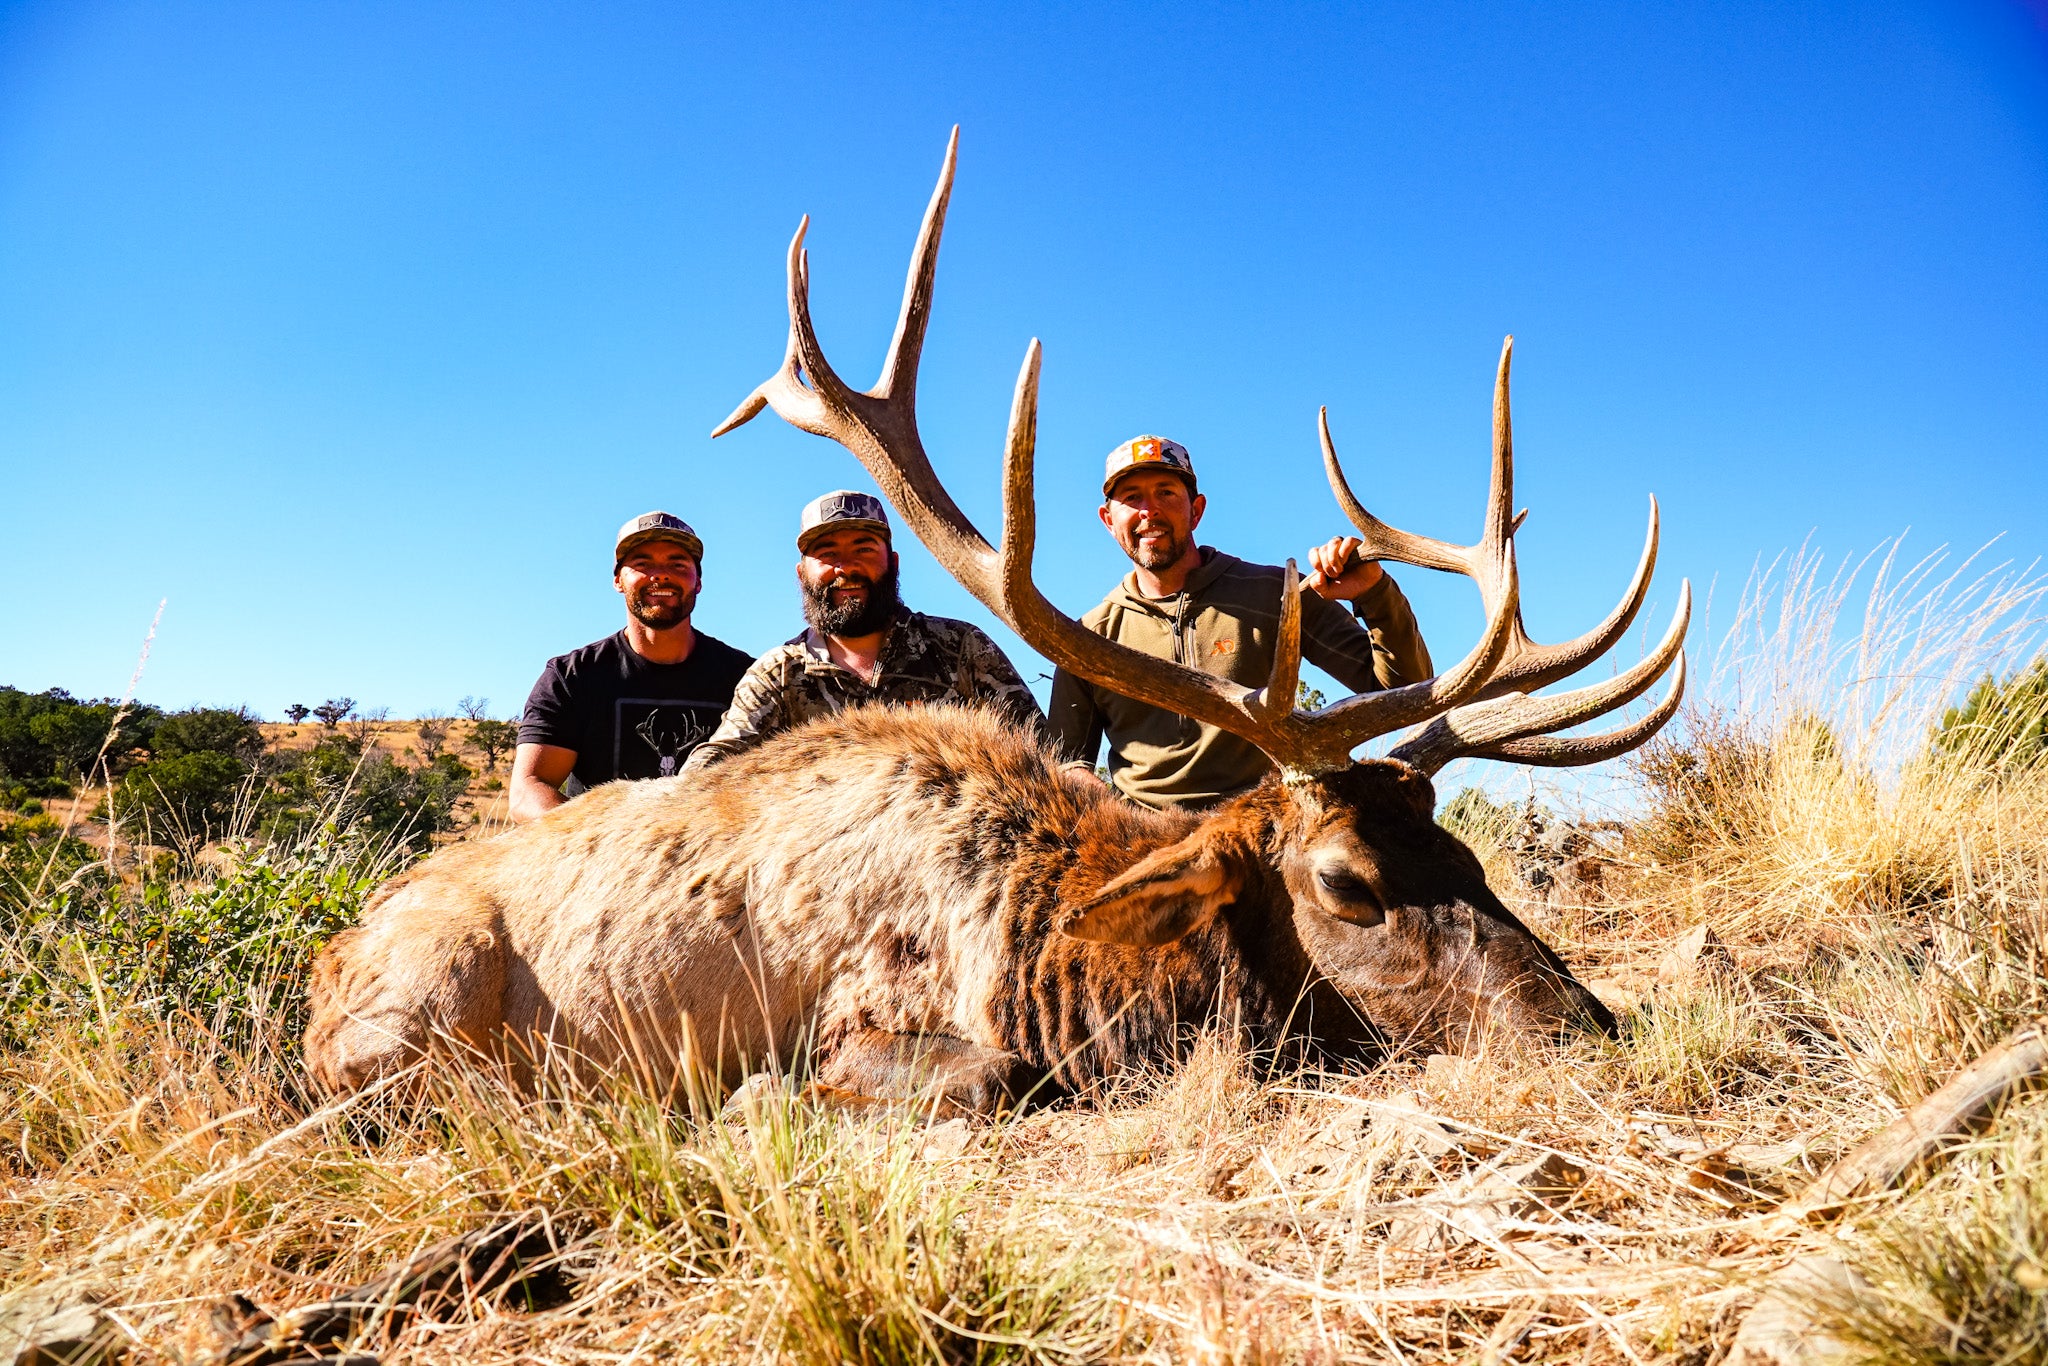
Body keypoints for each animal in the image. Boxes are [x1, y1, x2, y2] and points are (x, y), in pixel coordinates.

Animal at [304, 131, 1688, 1114]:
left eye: (1462, 852)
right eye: (1346, 882)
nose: (1588, 1027)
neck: (1051, 945)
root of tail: (326, 958)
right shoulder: (865, 1016)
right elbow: (983, 1076)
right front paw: (750, 1100)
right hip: (413, 1016)